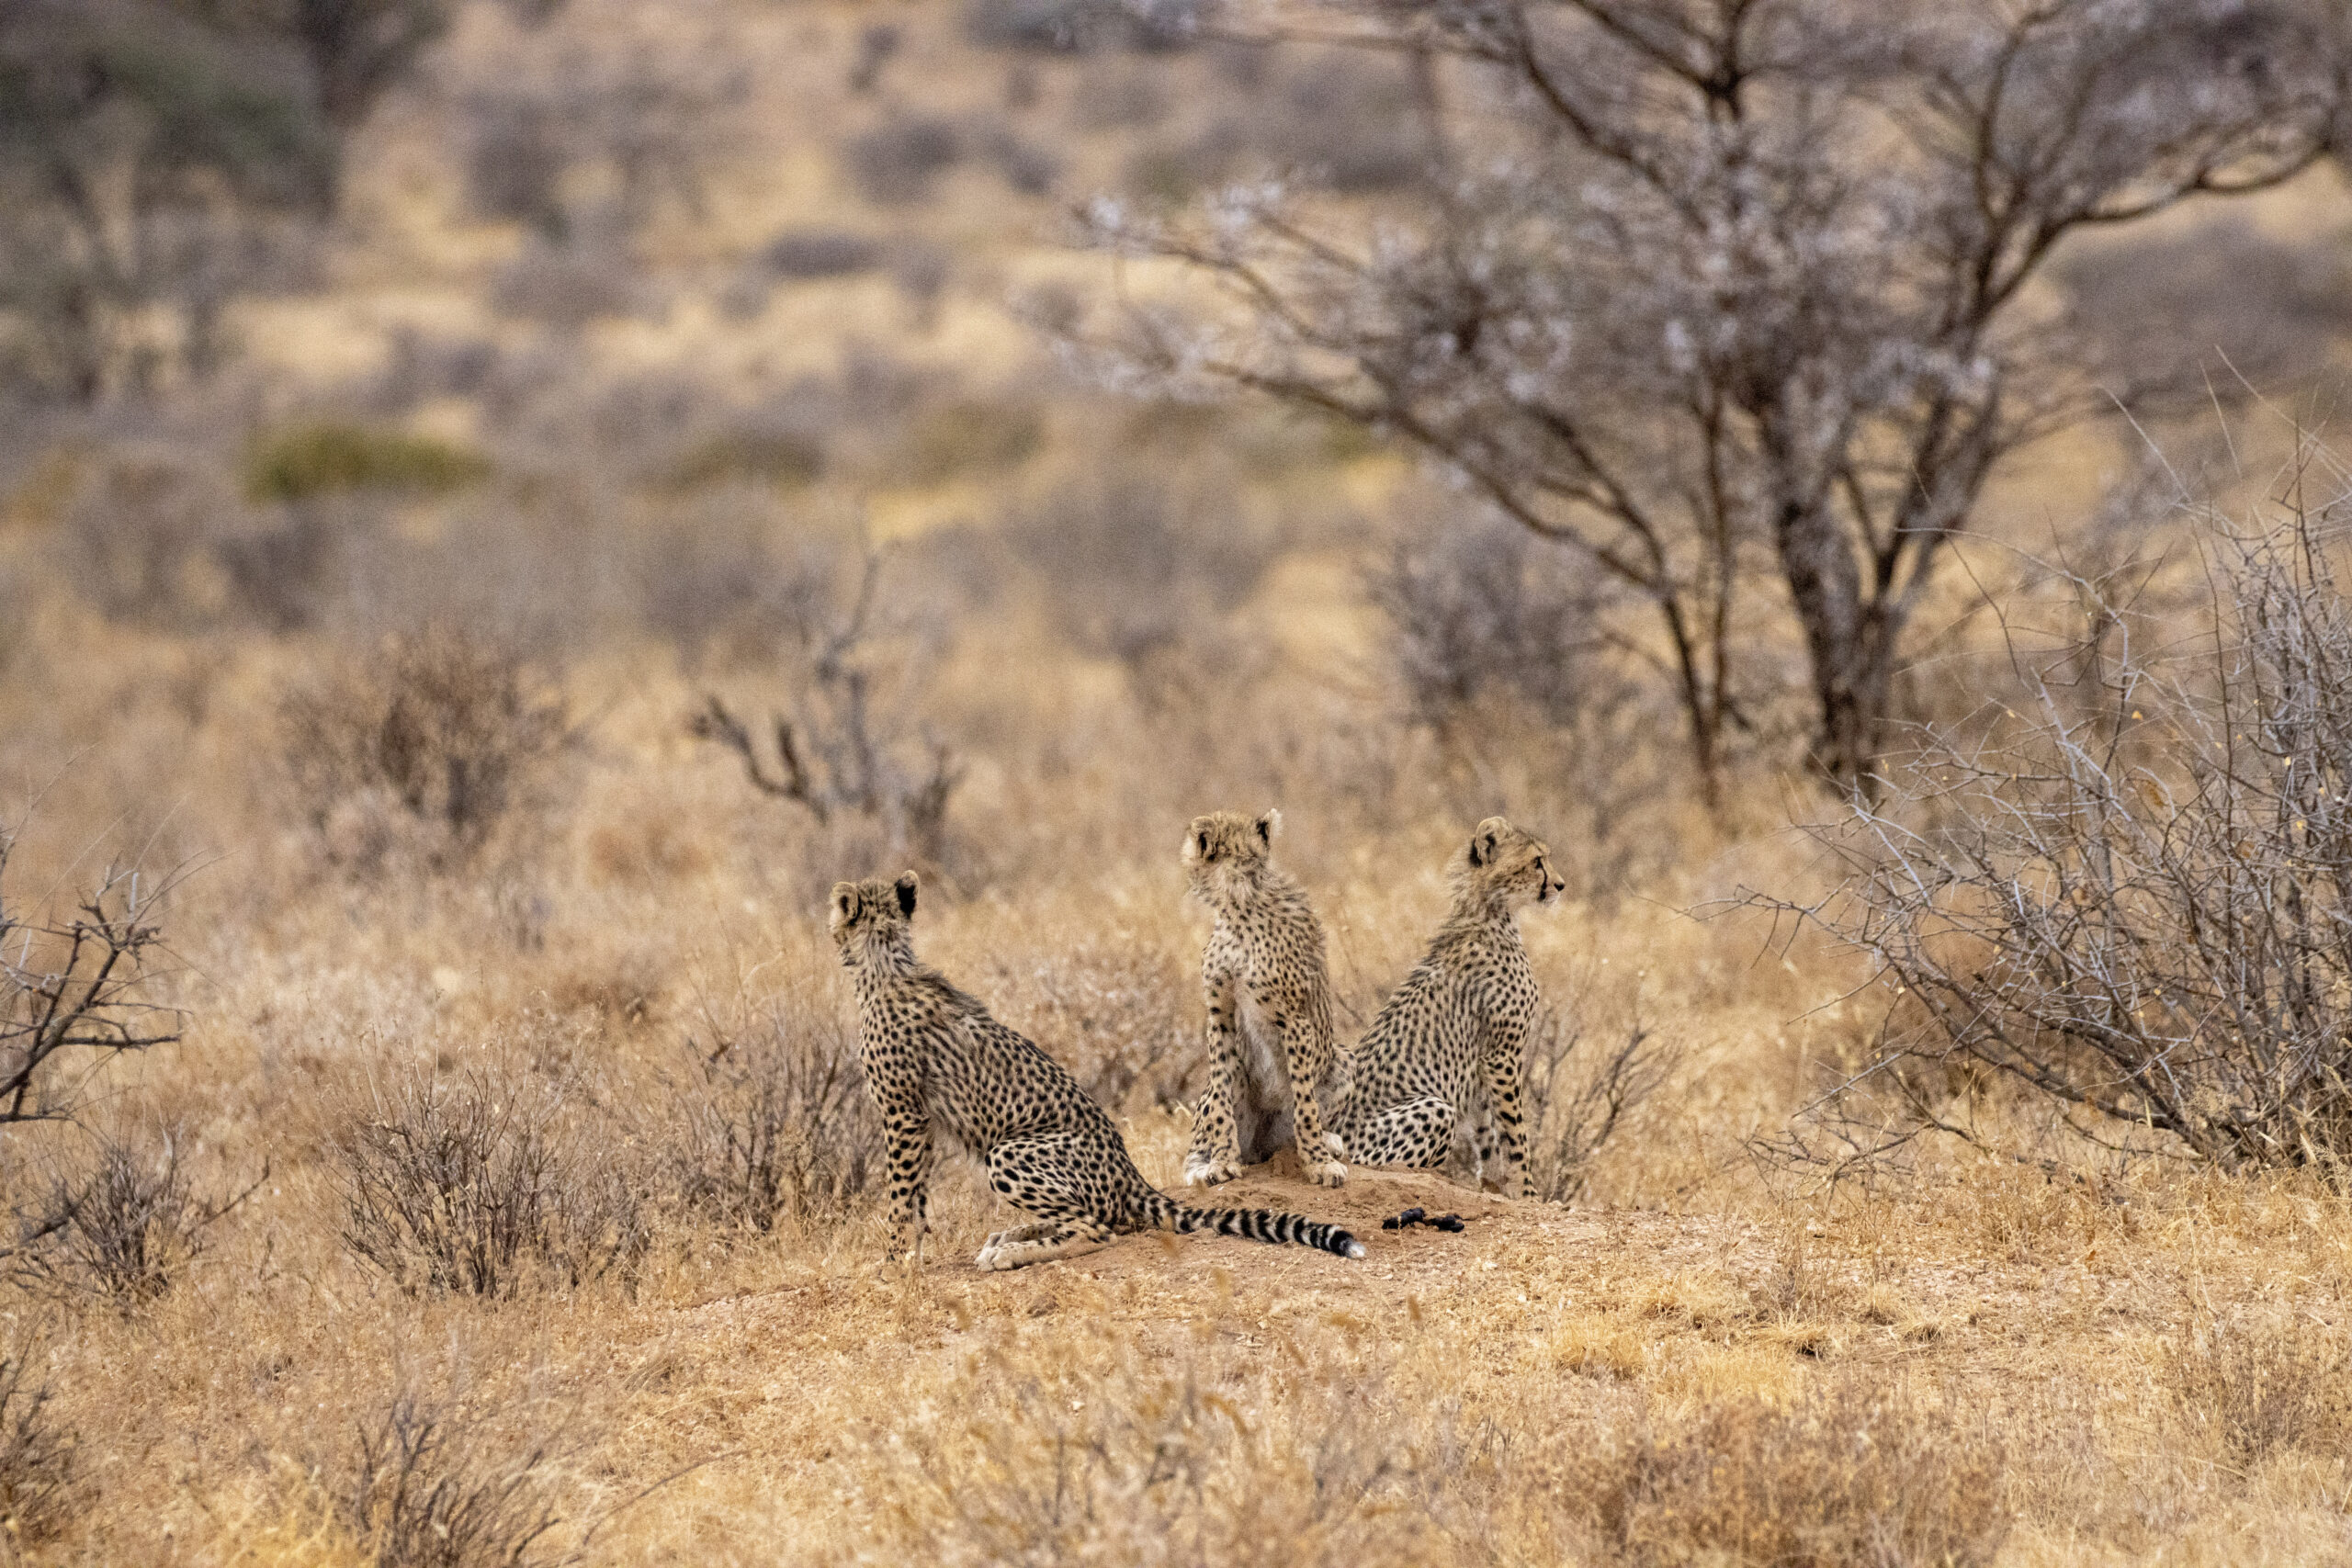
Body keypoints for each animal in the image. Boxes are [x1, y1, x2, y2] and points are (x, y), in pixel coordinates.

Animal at [837, 879, 1374, 1269]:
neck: (885, 963)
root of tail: (1129, 1171)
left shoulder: (903, 1115)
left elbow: (900, 1193)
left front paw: (892, 1263)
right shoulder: (920, 1119)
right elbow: (917, 1195)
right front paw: (911, 1255)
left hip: (1009, 1151)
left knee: (1097, 1228)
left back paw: (1013, 1251)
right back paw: (1010, 1236)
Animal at [1176, 808, 1345, 1189]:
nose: (1184, 852)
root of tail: (1261, 1147)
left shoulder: (1296, 1019)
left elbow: (1305, 1103)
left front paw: (1319, 1163)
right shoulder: (1220, 1013)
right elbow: (1221, 1099)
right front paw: (1222, 1162)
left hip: (1343, 1060)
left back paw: (1327, 1141)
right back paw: (1202, 1165)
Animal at [1336, 818, 1571, 1194]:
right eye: (1537, 861)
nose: (1561, 885)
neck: (1490, 912)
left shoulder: (1481, 1062)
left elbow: (1486, 1130)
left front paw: (1492, 1184)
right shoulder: (1502, 1054)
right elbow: (1515, 1131)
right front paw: (1527, 1190)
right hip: (1434, 1110)